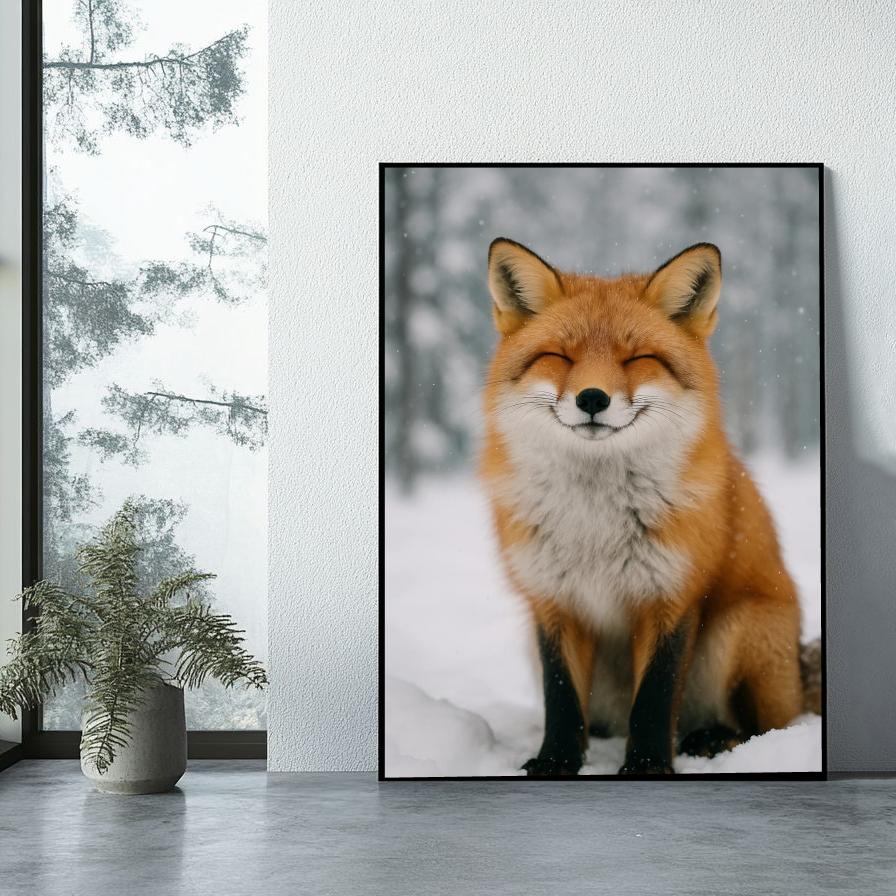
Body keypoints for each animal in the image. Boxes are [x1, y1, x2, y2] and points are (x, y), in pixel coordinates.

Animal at [480, 237, 814, 776]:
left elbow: (655, 697)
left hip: (738, 631)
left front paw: (647, 767)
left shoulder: (672, 594)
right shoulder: (551, 599)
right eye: (560, 357)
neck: (595, 520)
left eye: (637, 358)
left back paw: (712, 739)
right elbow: (561, 696)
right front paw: (556, 761)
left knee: (765, 727)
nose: (592, 398)